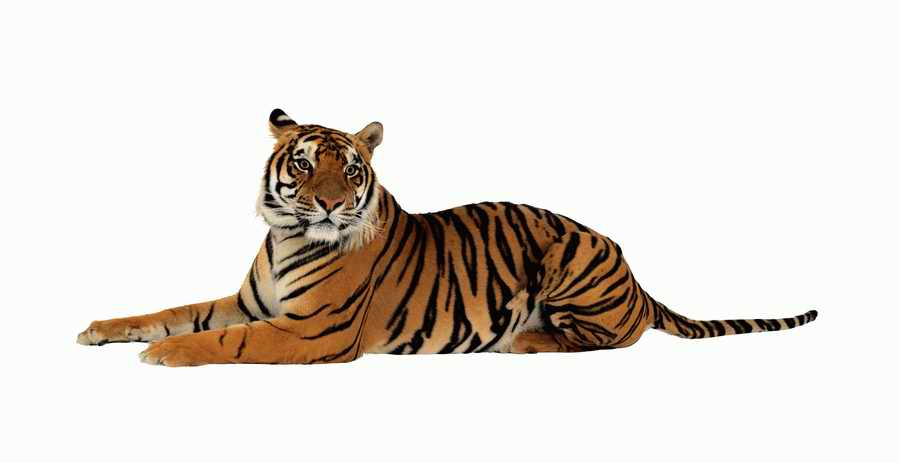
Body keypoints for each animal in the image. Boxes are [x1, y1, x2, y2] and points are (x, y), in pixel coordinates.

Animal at [77, 108, 818, 366]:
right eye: (303, 164)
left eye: (350, 169)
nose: (331, 203)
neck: (286, 236)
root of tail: (637, 277)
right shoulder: (252, 302)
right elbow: (173, 312)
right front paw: (100, 330)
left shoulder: (310, 330)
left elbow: (223, 340)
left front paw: (162, 356)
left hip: (570, 254)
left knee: (614, 337)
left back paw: (526, 340)